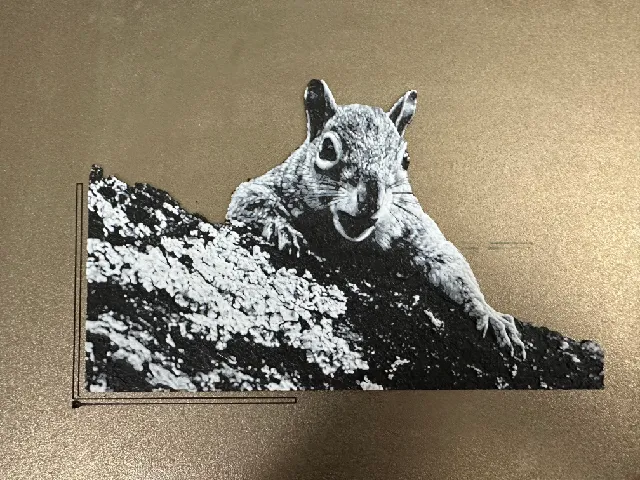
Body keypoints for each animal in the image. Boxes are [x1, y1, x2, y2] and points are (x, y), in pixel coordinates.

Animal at [226, 79, 525, 359]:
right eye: (327, 149)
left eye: (406, 160)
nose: (371, 199)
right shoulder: (274, 185)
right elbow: (251, 198)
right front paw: (282, 228)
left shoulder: (414, 226)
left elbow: (449, 262)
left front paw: (488, 312)